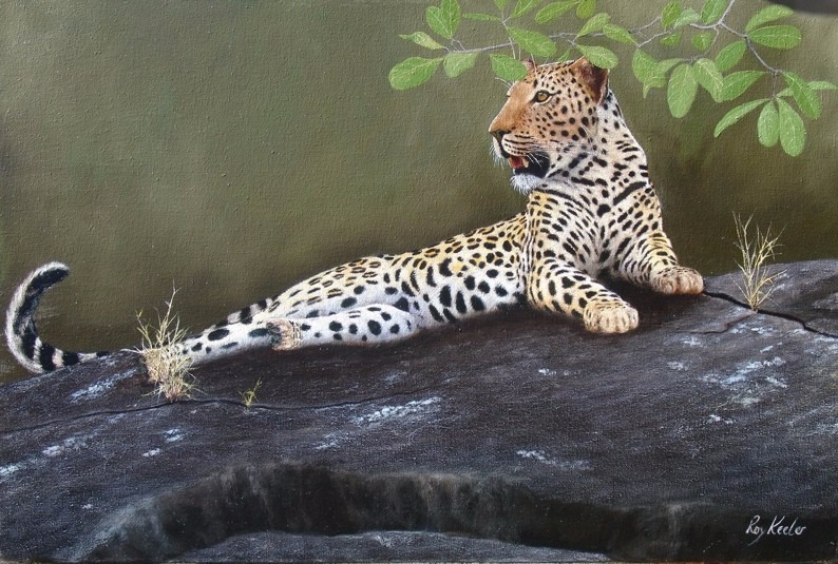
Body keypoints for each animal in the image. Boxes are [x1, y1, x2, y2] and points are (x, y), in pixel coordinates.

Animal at [5, 57, 703, 376]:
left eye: (539, 98)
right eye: (509, 99)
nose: (494, 133)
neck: (596, 168)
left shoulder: (641, 237)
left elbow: (659, 257)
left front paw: (682, 277)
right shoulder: (548, 265)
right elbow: (584, 284)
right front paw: (611, 311)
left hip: (386, 321)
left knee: (273, 334)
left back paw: (282, 340)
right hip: (340, 292)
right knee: (195, 343)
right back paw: (165, 368)